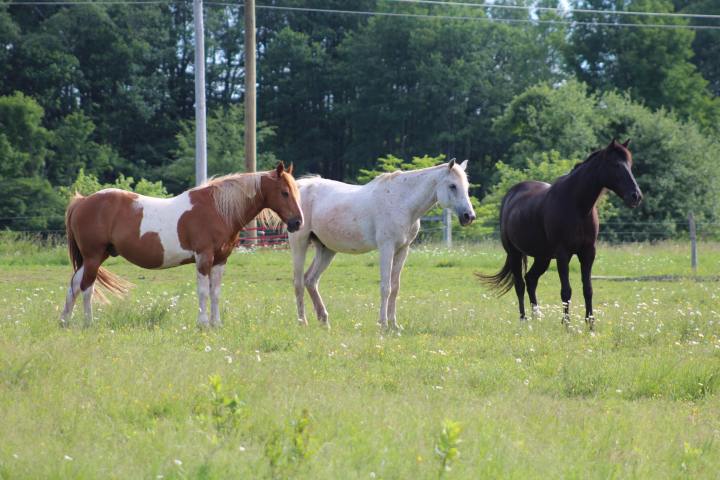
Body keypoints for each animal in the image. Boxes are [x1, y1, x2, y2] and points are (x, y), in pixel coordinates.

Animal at [58, 163, 300, 328]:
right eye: (284, 192)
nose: (298, 222)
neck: (217, 209)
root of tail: (82, 201)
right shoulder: (204, 257)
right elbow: (203, 291)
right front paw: (203, 323)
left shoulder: (220, 260)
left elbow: (215, 292)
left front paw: (216, 324)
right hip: (93, 256)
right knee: (87, 288)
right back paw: (89, 323)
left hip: (94, 257)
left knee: (74, 285)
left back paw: (64, 322)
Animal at [290, 161, 476, 330]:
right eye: (452, 185)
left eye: (466, 186)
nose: (469, 216)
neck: (401, 201)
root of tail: (300, 186)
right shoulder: (387, 248)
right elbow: (385, 287)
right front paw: (383, 324)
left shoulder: (402, 250)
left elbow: (395, 288)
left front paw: (394, 325)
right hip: (299, 243)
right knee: (299, 282)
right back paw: (302, 322)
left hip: (326, 249)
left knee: (311, 280)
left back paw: (324, 322)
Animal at [478, 137, 640, 328]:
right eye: (615, 164)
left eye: (630, 164)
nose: (636, 196)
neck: (577, 206)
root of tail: (510, 196)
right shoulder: (563, 254)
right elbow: (566, 291)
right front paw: (567, 325)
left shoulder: (588, 253)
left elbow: (588, 289)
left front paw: (590, 324)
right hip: (514, 253)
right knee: (520, 284)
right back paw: (524, 319)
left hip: (543, 257)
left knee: (531, 279)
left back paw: (537, 317)